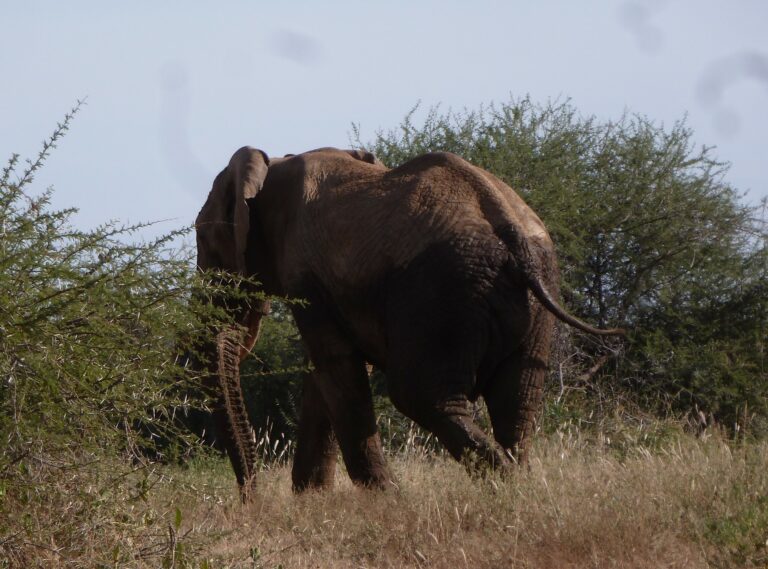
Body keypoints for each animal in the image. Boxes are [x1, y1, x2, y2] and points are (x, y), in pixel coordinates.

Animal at [194, 146, 624, 496]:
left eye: (206, 246)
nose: (253, 502)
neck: (272, 166)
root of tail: (511, 228)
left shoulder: (306, 273)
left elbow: (334, 365)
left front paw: (382, 500)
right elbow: (328, 370)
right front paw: (314, 502)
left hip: (442, 287)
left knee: (420, 394)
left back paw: (504, 491)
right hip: (530, 299)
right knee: (517, 401)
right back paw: (522, 489)